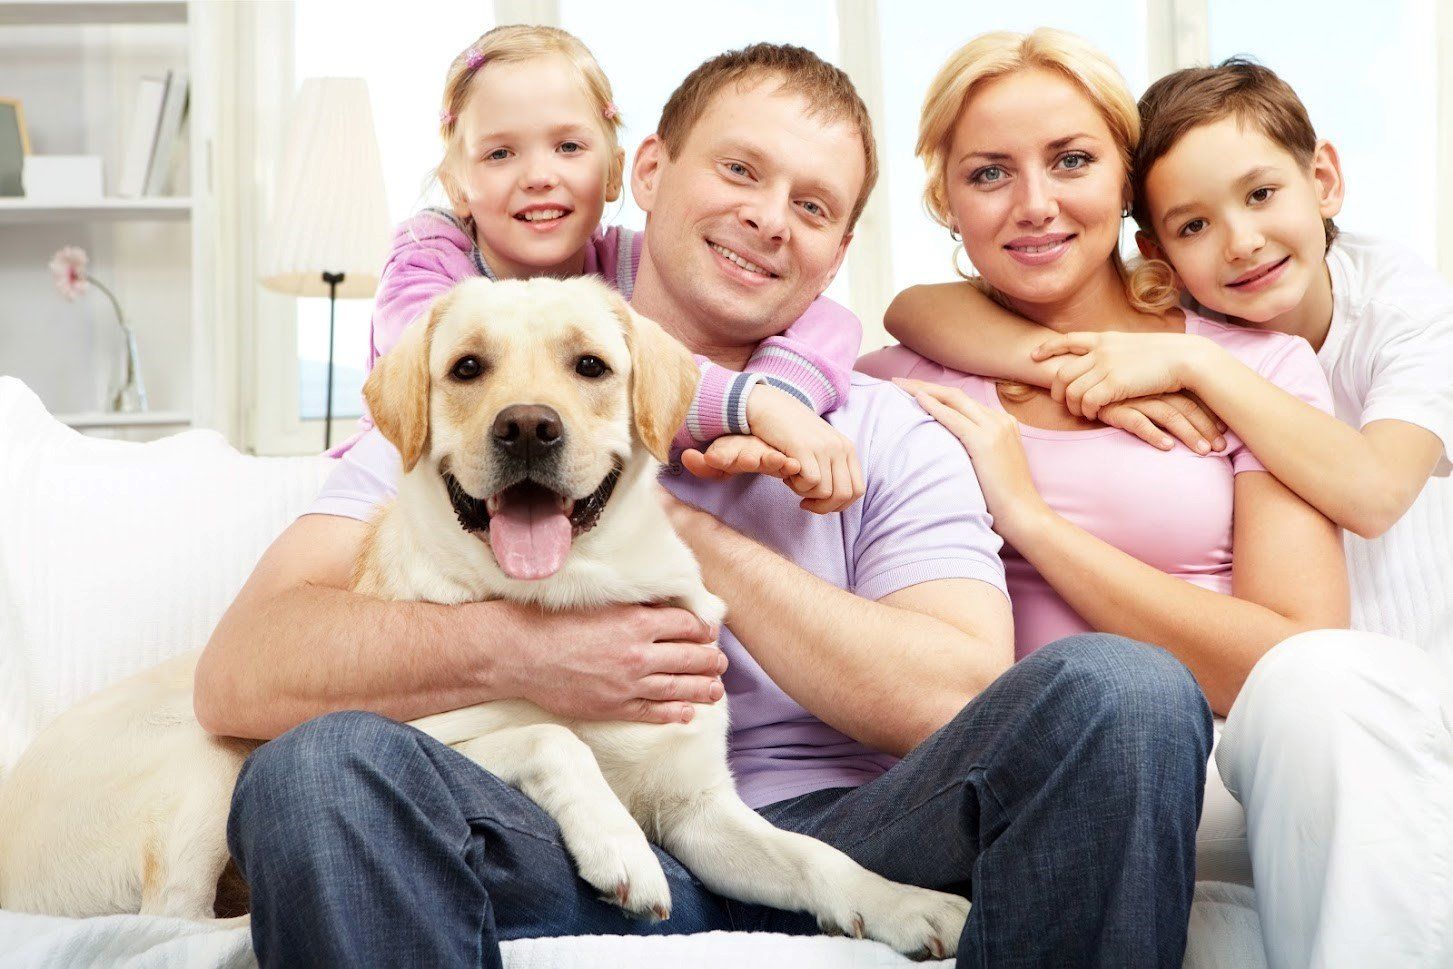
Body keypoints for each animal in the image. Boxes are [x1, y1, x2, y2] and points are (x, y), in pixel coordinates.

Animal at [2, 280, 976, 964]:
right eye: (467, 367)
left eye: (590, 366)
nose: (528, 427)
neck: (569, 597)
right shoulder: (448, 730)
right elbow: (552, 733)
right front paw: (618, 844)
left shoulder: (701, 811)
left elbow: (815, 859)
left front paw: (905, 902)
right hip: (205, 765)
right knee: (172, 922)